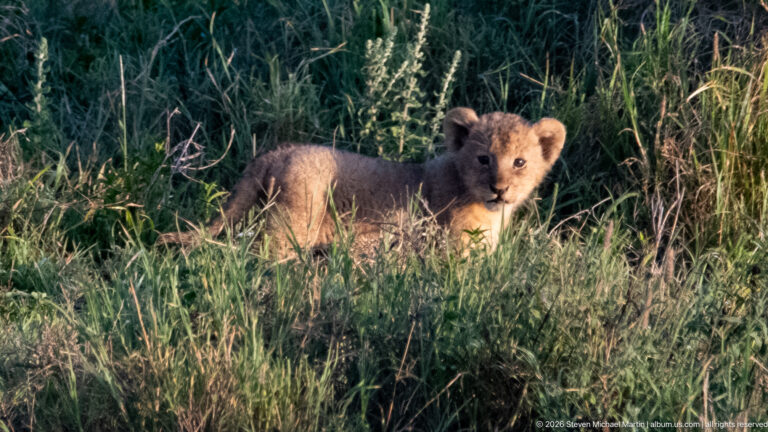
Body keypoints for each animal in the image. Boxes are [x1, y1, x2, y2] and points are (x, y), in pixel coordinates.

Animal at [157, 107, 566, 257]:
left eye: (519, 163)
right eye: (484, 160)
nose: (500, 188)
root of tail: (280, 151)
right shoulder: (453, 252)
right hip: (295, 219)